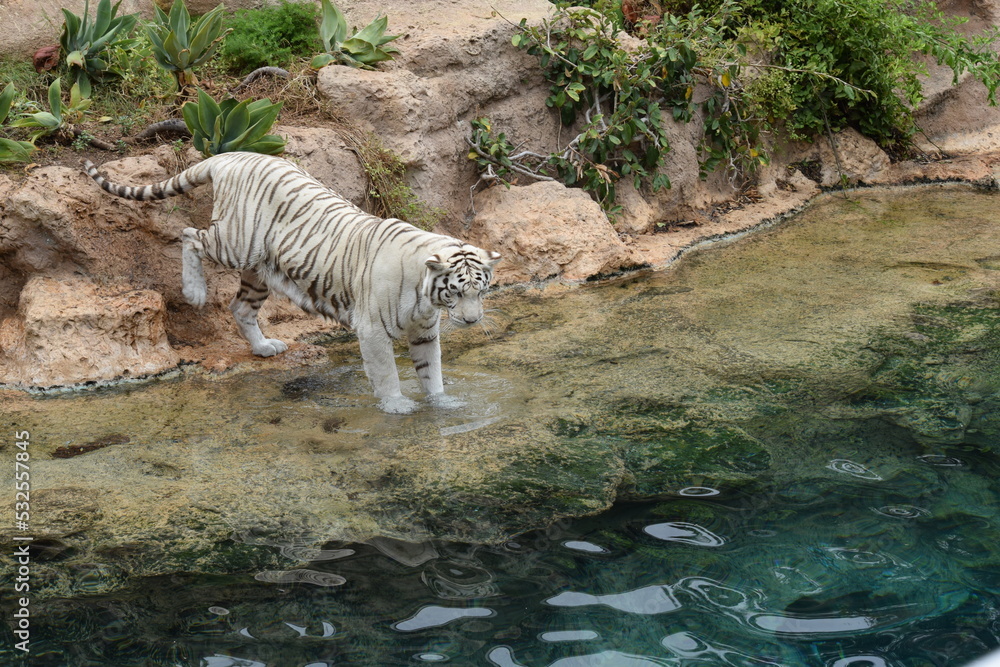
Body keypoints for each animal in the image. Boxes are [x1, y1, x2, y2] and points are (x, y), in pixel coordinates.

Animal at [81, 153, 500, 412]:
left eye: (480, 290)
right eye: (455, 291)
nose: (473, 320)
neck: (426, 298)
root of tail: (233, 156)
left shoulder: (425, 332)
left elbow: (432, 373)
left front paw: (443, 405)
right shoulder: (372, 330)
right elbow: (386, 374)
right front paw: (397, 406)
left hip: (258, 269)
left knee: (239, 307)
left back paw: (265, 347)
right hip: (235, 242)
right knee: (189, 235)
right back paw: (195, 291)